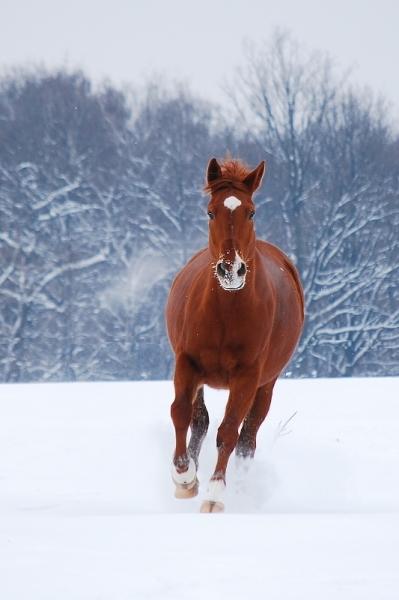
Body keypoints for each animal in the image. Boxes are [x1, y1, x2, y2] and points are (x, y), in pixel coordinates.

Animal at [165, 156, 304, 510]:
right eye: (211, 212)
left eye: (251, 212)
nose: (231, 270)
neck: (225, 314)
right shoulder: (187, 363)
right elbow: (181, 412)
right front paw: (184, 477)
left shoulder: (247, 377)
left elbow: (229, 432)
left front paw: (216, 493)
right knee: (200, 421)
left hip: (266, 385)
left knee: (247, 438)